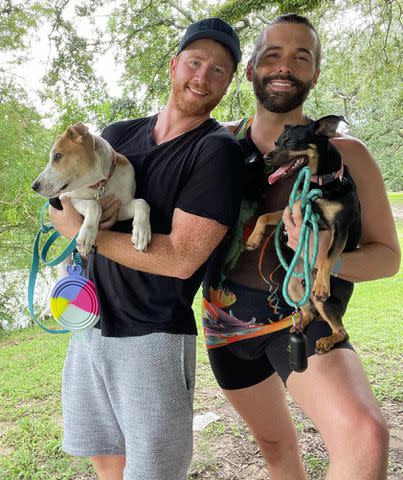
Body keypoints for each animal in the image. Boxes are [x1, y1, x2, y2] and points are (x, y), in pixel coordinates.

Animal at [32, 122, 152, 255]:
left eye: (58, 156)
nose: (34, 186)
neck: (99, 184)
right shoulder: (69, 198)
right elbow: (94, 205)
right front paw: (87, 236)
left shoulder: (117, 209)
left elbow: (142, 202)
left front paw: (141, 232)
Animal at [246, 116, 362, 352]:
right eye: (275, 142)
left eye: (290, 142)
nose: (266, 157)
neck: (320, 183)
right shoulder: (290, 210)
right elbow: (263, 216)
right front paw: (253, 239)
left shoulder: (340, 229)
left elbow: (327, 256)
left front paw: (322, 284)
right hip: (290, 286)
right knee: (307, 312)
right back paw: (298, 326)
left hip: (324, 302)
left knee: (341, 331)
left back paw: (326, 340)